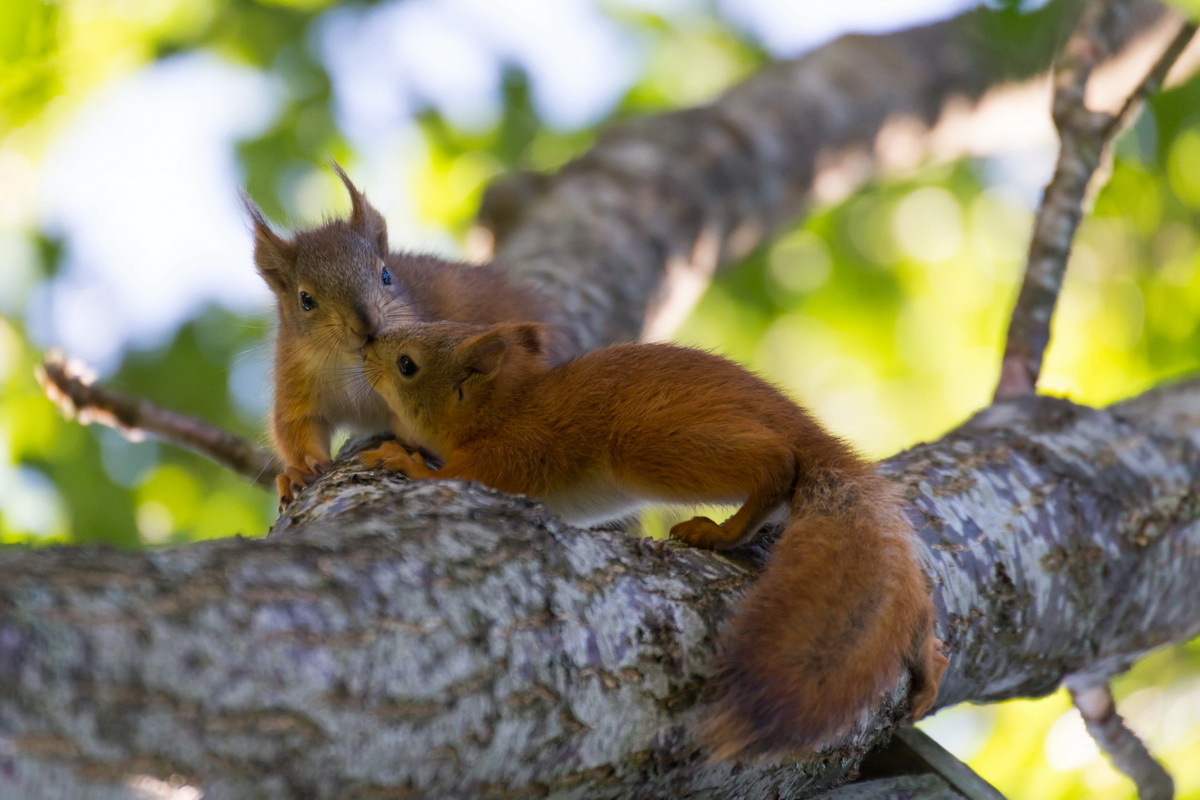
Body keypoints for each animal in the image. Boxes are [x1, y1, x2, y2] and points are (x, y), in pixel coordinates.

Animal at [244, 164, 571, 506]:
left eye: (386, 275)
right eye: (305, 300)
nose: (367, 324)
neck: (350, 363)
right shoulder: (294, 376)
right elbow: (294, 427)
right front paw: (298, 470)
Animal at [352, 321, 945, 762]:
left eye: (406, 364)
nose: (366, 342)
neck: (502, 408)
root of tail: (812, 434)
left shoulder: (513, 454)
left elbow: (458, 476)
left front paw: (401, 458)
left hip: (646, 441)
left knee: (777, 463)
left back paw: (723, 530)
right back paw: (927, 655)